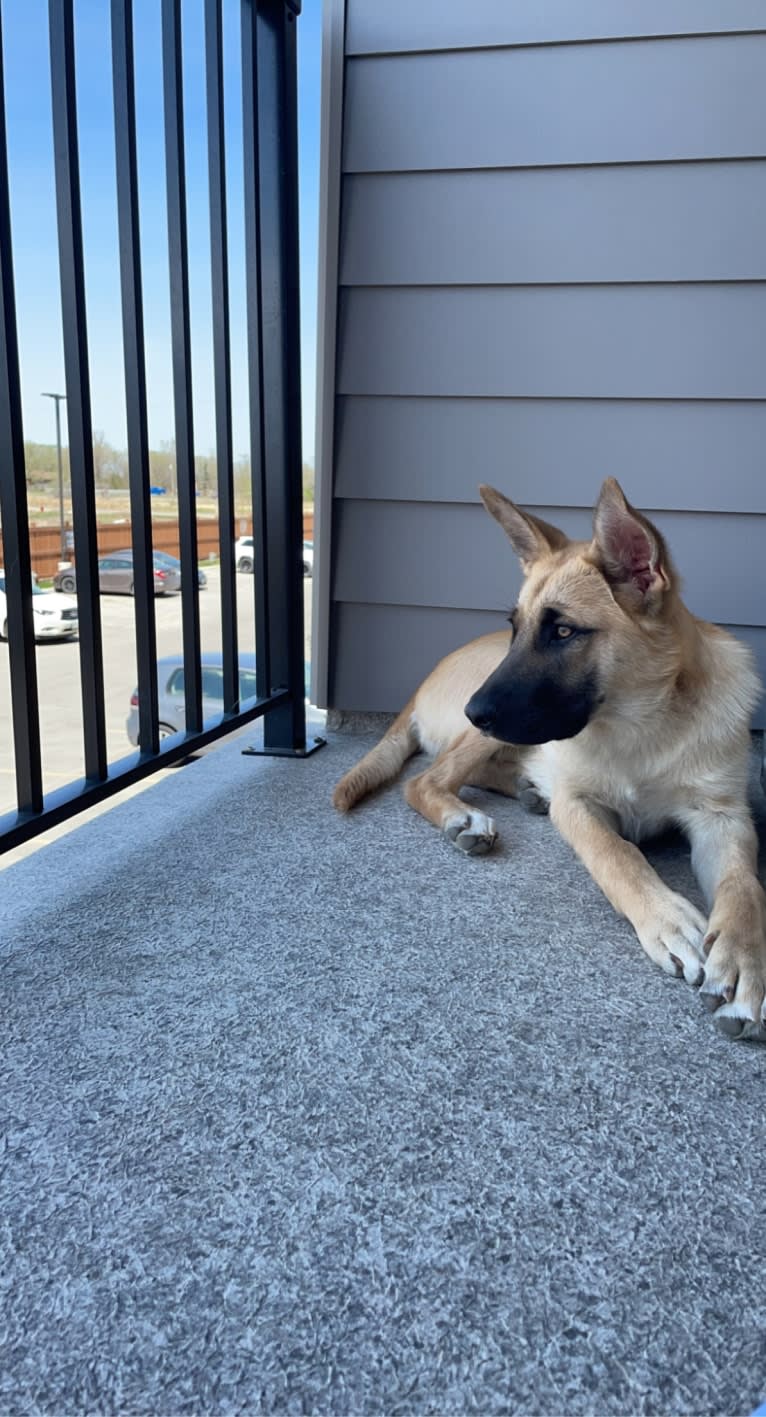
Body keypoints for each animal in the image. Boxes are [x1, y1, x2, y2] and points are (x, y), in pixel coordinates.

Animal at [332, 481, 764, 1048]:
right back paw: (463, 816)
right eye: (514, 628)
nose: (474, 709)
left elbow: (744, 888)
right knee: (426, 779)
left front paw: (743, 960)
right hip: (480, 738)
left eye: (562, 632)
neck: (644, 726)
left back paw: (526, 788)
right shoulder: (578, 806)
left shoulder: (723, 817)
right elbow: (617, 853)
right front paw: (665, 917)